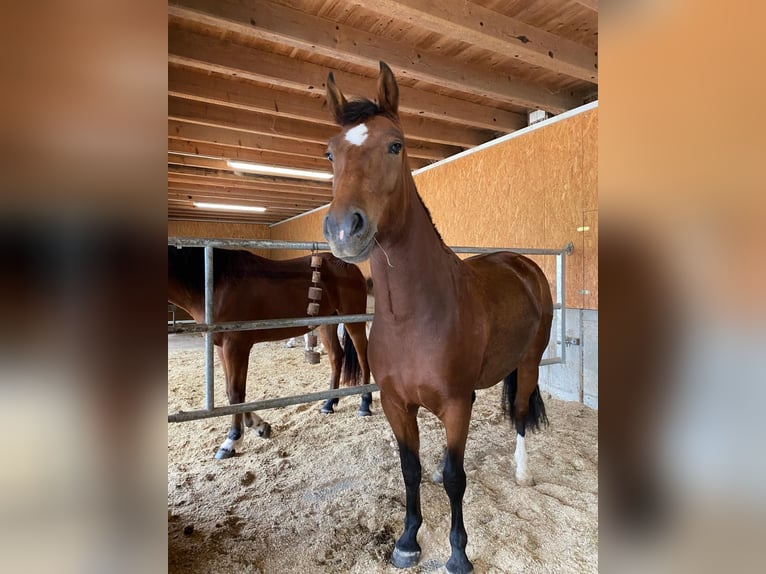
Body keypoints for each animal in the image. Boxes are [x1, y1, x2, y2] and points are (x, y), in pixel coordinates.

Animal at [168, 246, 372, 460]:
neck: (214, 283)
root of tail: (349, 266)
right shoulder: (222, 347)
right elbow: (234, 392)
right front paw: (259, 426)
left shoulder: (235, 346)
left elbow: (235, 392)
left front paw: (232, 441)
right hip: (327, 323)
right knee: (336, 357)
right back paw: (329, 403)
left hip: (353, 320)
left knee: (362, 355)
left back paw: (364, 404)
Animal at [320, 60, 556, 572]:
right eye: (330, 153)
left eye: (395, 145)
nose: (345, 229)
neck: (413, 316)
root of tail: (523, 264)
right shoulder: (395, 403)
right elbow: (409, 470)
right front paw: (408, 540)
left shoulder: (454, 403)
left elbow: (455, 478)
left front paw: (458, 552)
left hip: (529, 362)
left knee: (521, 413)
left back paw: (523, 473)